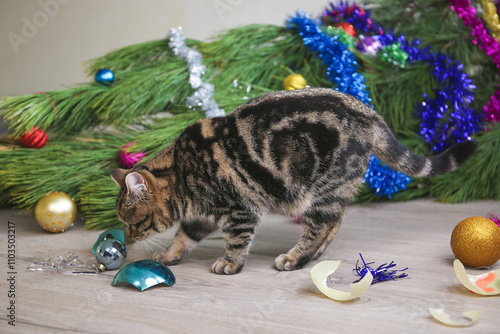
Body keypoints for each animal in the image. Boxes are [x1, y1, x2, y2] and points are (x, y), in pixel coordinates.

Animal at [110, 87, 476, 276]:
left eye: (131, 223)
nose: (126, 240)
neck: (181, 172)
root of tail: (370, 113)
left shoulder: (239, 209)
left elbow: (236, 241)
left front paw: (230, 262)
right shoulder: (202, 216)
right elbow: (183, 237)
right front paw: (170, 255)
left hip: (320, 192)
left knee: (320, 226)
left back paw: (295, 257)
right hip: (331, 194)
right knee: (335, 222)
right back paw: (312, 255)